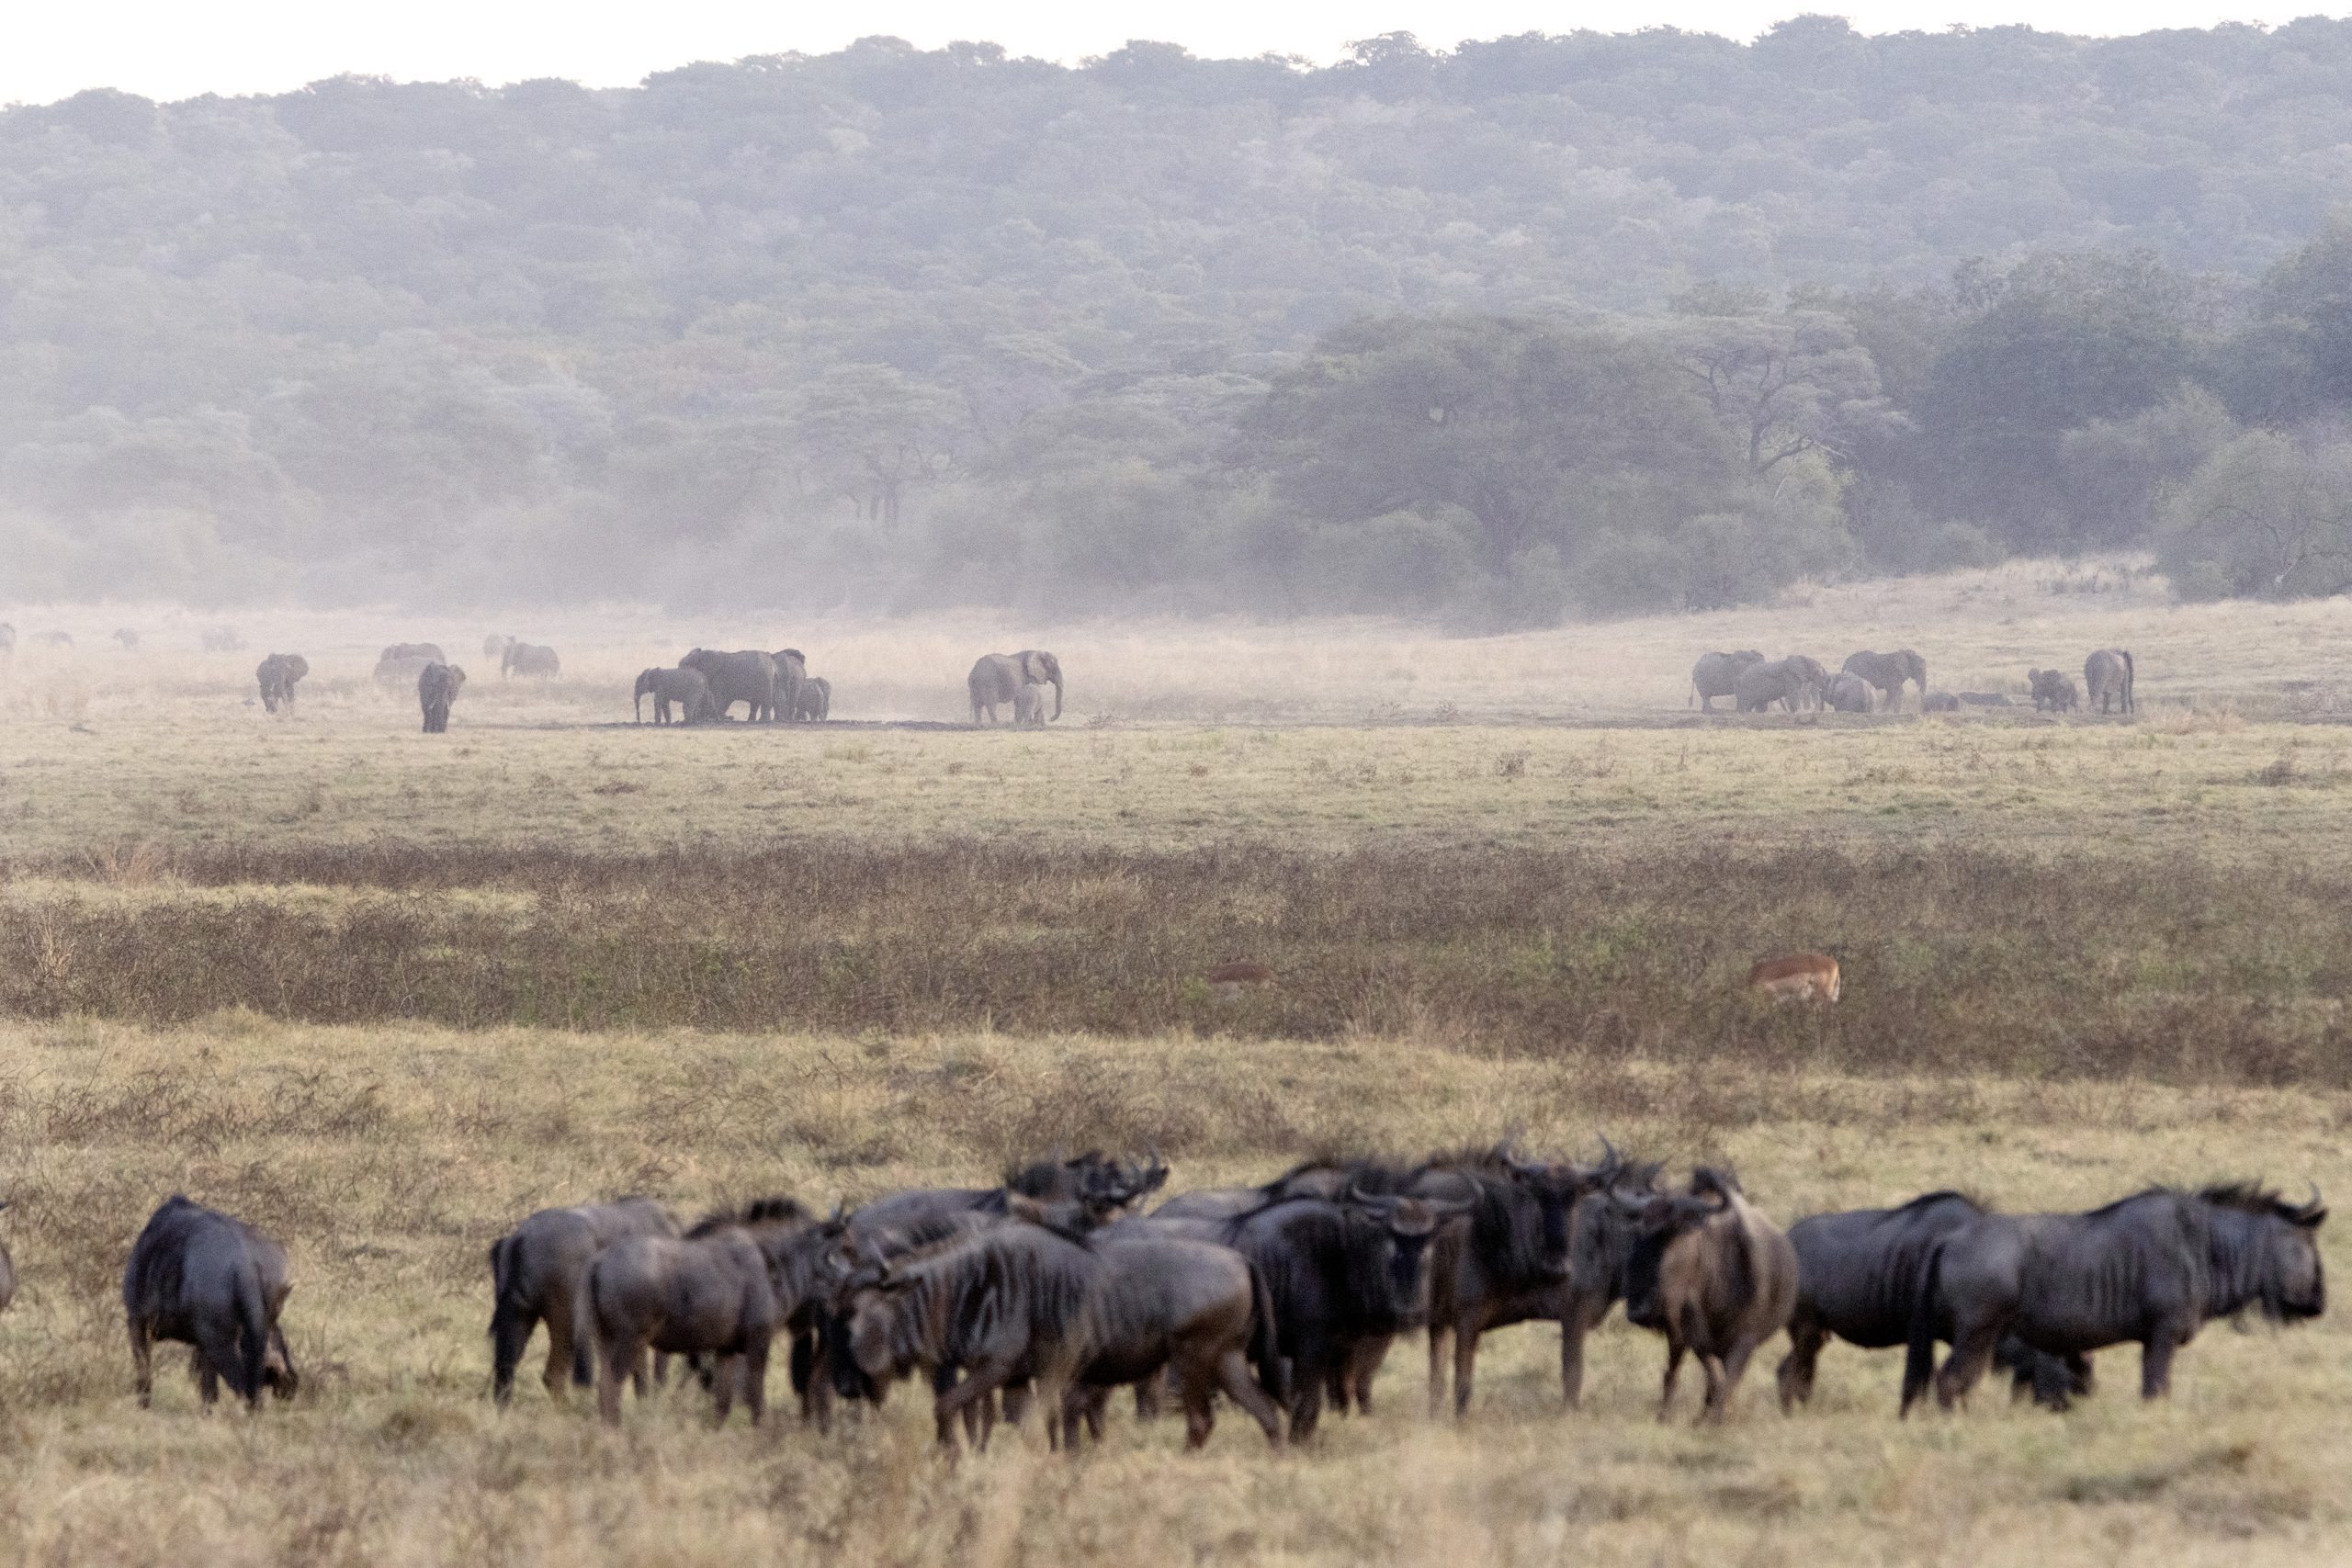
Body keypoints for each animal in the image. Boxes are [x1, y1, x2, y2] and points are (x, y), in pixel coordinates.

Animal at [125, 1203, 299, 1410]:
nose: (292, 1382)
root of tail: (245, 1265)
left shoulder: (136, 1322)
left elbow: (143, 1373)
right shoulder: (202, 1345)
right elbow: (208, 1389)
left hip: (218, 1342)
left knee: (244, 1388)